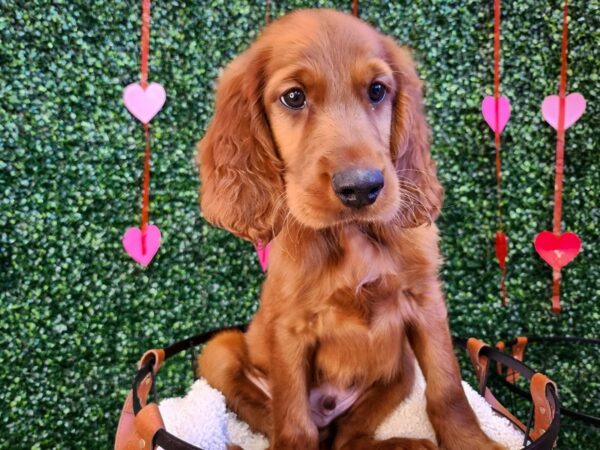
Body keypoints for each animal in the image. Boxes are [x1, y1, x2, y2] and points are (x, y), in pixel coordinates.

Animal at [196, 7, 502, 450]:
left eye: (377, 90)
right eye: (293, 97)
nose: (361, 187)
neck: (353, 236)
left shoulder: (425, 300)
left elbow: (447, 389)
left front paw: (471, 442)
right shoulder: (289, 329)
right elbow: (293, 421)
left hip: (400, 367)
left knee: (348, 438)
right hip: (217, 351)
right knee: (285, 422)